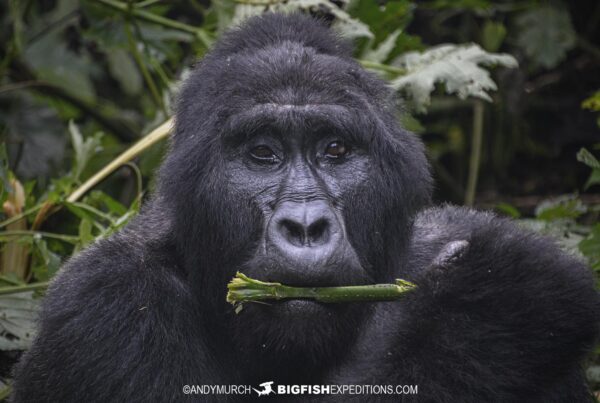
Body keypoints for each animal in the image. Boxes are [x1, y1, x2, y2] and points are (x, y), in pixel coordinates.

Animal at [10, 12, 600, 403]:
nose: (306, 226)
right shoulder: (105, 307)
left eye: (334, 150)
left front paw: (487, 296)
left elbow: (529, 287)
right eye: (262, 154)